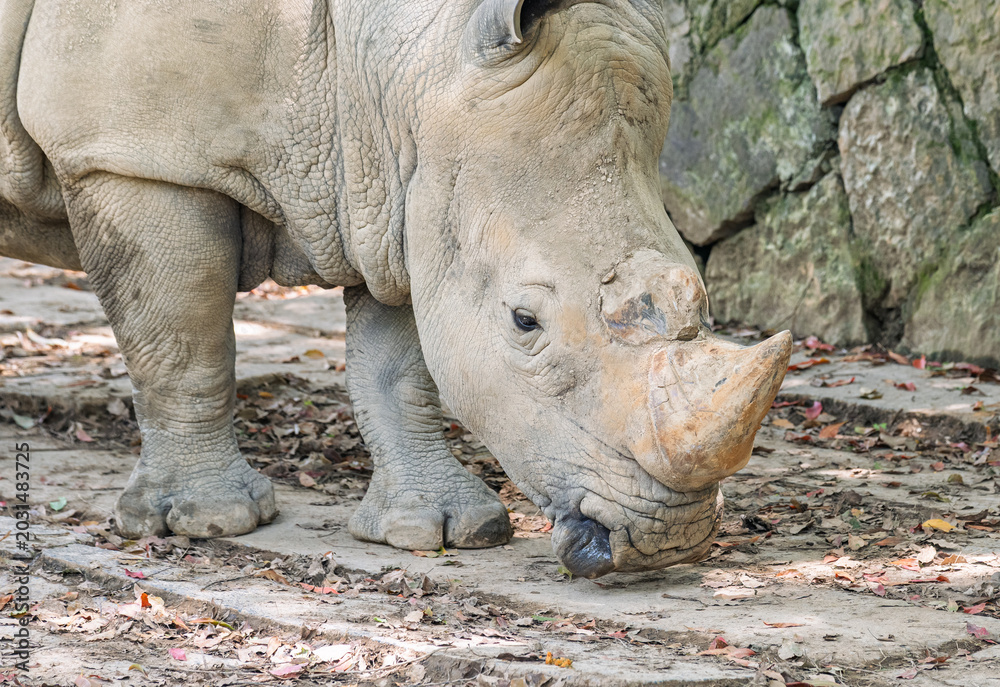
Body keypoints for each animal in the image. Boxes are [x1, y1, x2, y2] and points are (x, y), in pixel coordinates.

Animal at [1, 0, 791, 578]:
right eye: (525, 321)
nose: (667, 541)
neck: (385, 61)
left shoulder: (403, 186)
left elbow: (400, 361)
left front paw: (434, 531)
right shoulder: (132, 153)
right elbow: (181, 342)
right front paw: (206, 522)